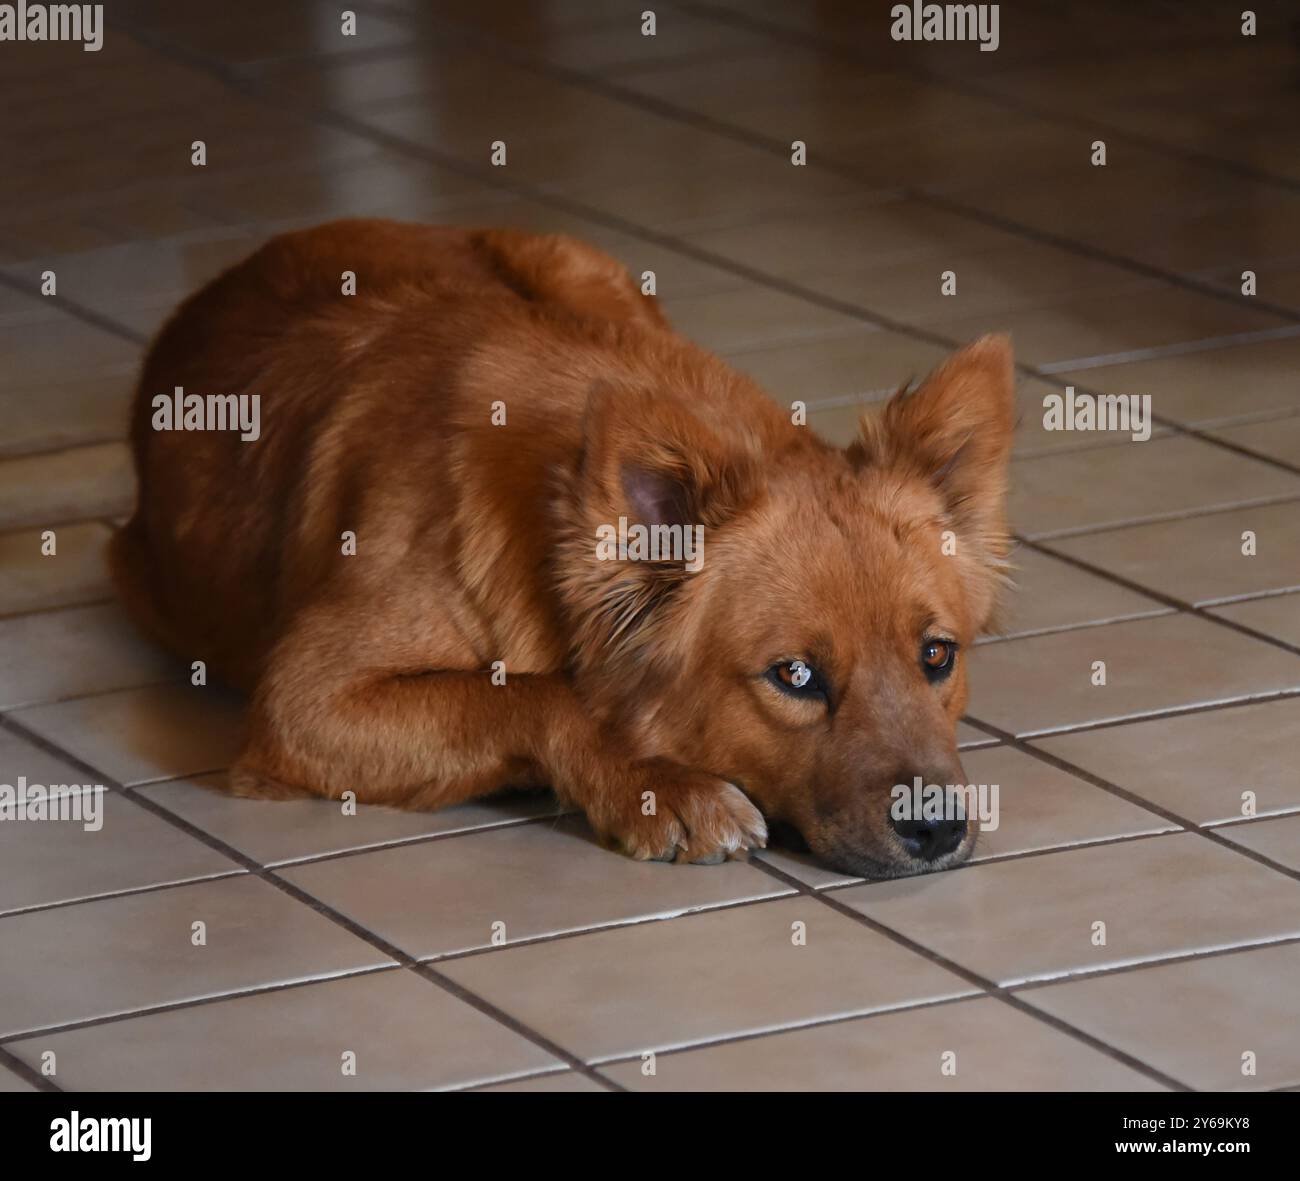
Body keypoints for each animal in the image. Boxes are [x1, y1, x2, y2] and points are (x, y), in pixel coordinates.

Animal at [114, 218, 1013, 874]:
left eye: (937, 656)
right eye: (794, 676)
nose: (937, 830)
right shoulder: (304, 700)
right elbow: (531, 694)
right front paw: (657, 784)